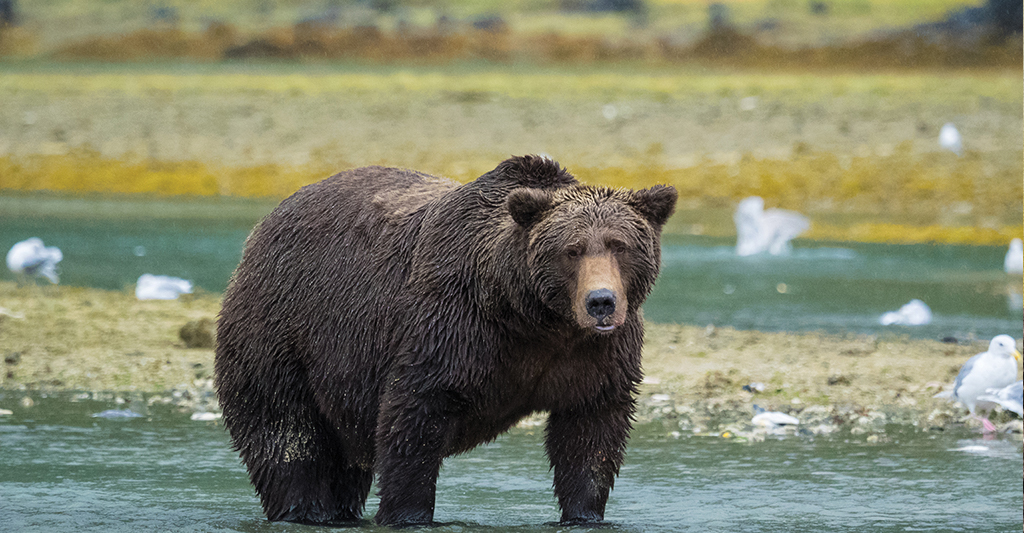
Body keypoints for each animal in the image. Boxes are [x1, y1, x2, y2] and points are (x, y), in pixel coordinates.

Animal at [215, 154, 675, 527]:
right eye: (572, 249)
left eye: (620, 245)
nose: (601, 302)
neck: (535, 319)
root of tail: (266, 223)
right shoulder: (453, 329)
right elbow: (414, 419)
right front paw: (408, 515)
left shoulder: (595, 357)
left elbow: (591, 435)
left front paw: (584, 514)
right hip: (283, 333)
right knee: (288, 435)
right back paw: (305, 511)